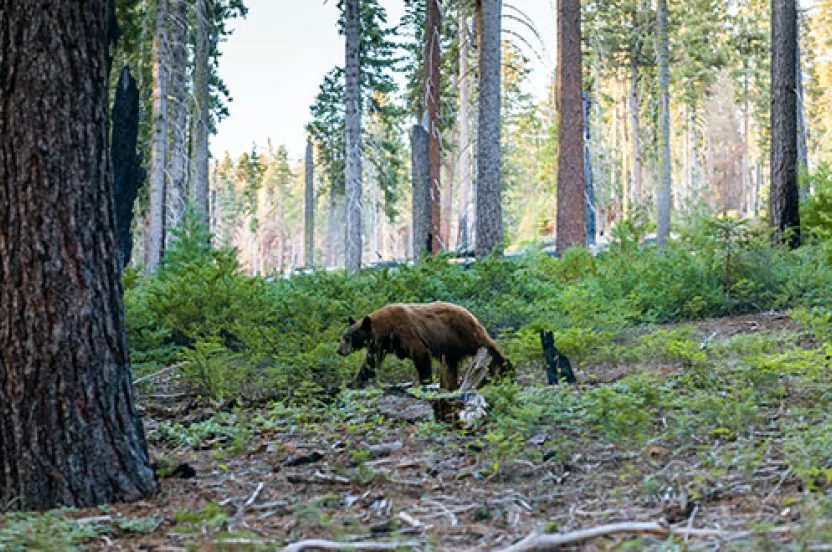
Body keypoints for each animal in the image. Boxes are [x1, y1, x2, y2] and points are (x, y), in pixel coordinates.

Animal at [337, 301, 513, 391]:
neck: (385, 330)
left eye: (347, 338)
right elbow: (370, 364)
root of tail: (469, 312)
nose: (339, 350)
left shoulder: (406, 332)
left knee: (489, 348)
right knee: (451, 365)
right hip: (451, 346)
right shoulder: (380, 346)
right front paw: (352, 383)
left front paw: (424, 381)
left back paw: (507, 371)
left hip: (465, 334)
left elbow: (420, 354)